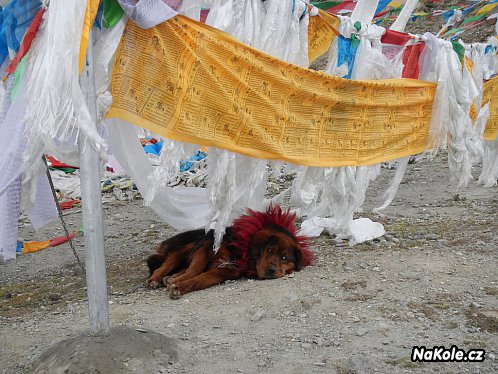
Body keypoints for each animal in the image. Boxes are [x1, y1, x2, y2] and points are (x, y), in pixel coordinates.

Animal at [146, 205, 314, 298]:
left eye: (285, 258)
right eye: (270, 250)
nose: (271, 271)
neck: (241, 251)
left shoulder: (224, 271)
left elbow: (199, 279)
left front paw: (179, 286)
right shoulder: (206, 247)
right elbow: (195, 269)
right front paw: (177, 281)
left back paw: (171, 277)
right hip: (188, 246)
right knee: (168, 262)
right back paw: (157, 278)